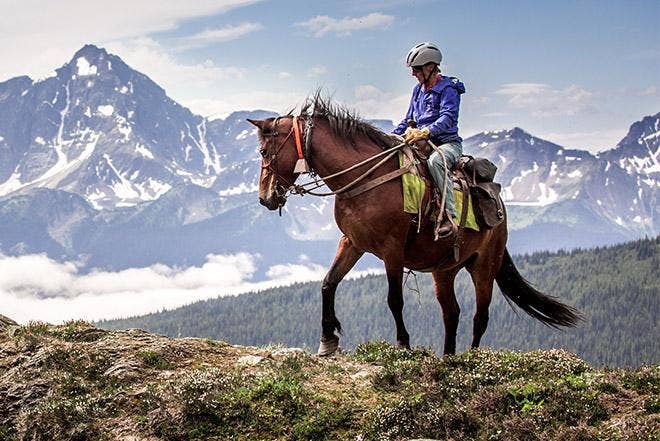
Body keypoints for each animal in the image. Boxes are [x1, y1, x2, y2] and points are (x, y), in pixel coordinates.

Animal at [249, 94, 584, 356]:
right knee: (452, 313)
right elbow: (328, 283)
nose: (265, 198)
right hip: (444, 269)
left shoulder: (392, 249)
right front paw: (327, 341)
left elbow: (394, 300)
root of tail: (498, 202)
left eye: (264, 152)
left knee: (480, 316)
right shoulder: (352, 243)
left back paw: (472, 358)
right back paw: (449, 358)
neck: (365, 178)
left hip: (484, 264)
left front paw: (403, 344)